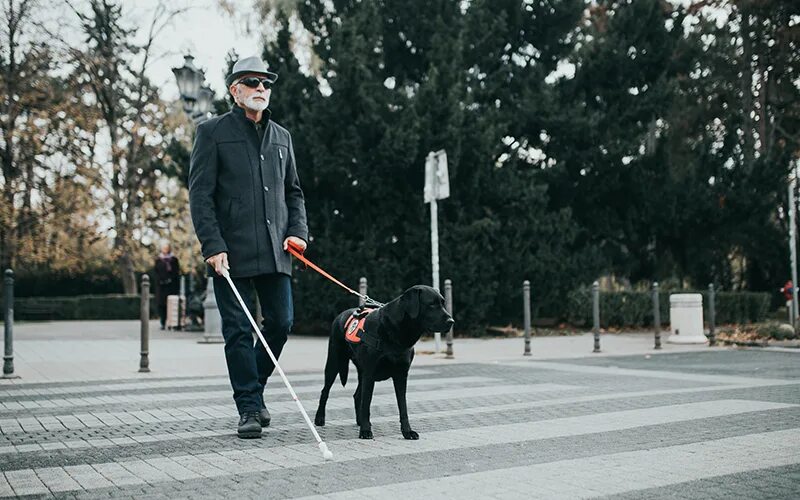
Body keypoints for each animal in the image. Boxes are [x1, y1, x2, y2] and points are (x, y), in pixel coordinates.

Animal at [314, 284, 454, 440]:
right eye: (431, 305)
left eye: (443, 303)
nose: (451, 322)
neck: (398, 332)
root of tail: (340, 314)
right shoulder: (370, 374)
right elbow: (366, 404)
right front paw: (365, 430)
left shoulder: (401, 375)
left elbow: (403, 406)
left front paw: (407, 431)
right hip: (334, 362)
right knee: (325, 391)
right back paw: (320, 418)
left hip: (361, 372)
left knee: (357, 395)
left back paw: (359, 421)